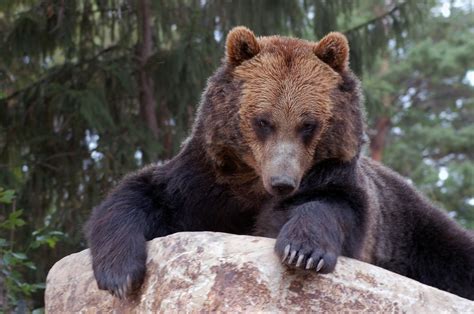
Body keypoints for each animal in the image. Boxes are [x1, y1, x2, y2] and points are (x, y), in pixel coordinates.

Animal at [85, 26, 474, 300]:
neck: (252, 182)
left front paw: (302, 250)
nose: (283, 182)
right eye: (263, 121)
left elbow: (336, 207)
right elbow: (143, 194)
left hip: (415, 225)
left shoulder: (336, 178)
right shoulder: (205, 178)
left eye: (308, 124)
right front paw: (120, 274)